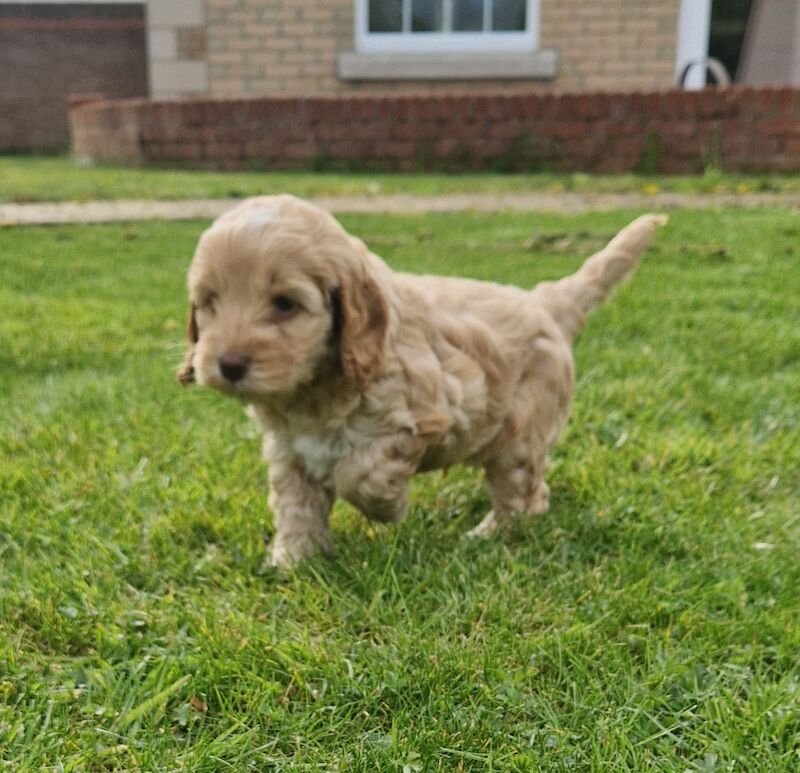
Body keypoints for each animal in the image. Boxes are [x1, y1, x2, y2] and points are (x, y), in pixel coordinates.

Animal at [178, 196, 664, 564]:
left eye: (284, 304)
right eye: (210, 302)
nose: (228, 364)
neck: (313, 392)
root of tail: (545, 301)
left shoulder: (421, 414)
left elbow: (360, 473)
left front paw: (389, 509)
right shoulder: (289, 449)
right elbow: (296, 504)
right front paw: (294, 559)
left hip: (520, 434)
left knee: (522, 494)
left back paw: (488, 535)